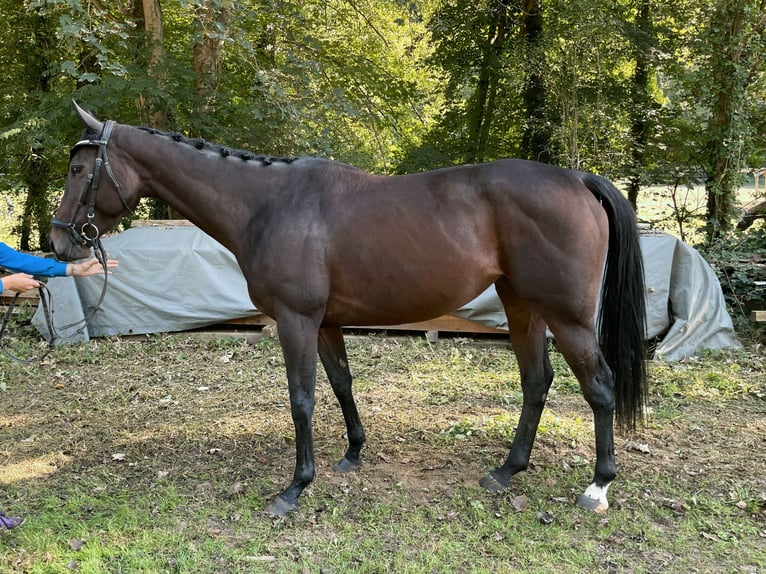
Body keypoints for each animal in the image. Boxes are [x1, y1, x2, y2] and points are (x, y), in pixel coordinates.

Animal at [51, 102, 644, 516]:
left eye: (80, 169)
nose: (59, 243)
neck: (269, 205)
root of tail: (576, 179)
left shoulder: (296, 321)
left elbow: (302, 400)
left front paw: (295, 487)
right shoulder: (326, 323)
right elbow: (340, 385)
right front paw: (353, 453)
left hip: (567, 318)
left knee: (598, 386)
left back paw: (598, 486)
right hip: (523, 307)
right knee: (536, 381)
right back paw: (507, 470)